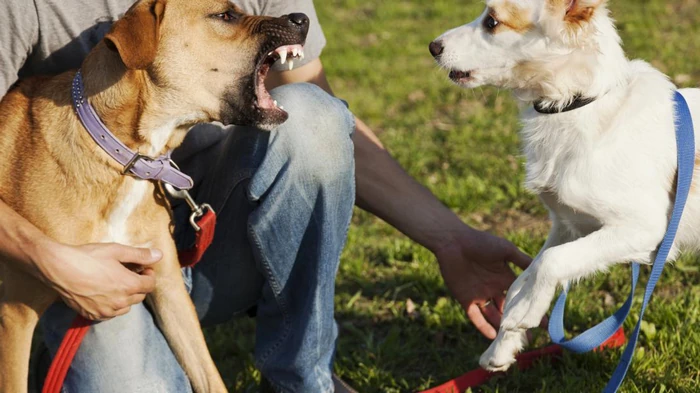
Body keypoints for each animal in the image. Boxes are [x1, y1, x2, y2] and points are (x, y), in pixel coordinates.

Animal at [0, 0, 308, 392]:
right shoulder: (16, 314)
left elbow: (208, 374)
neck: (126, 156)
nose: (302, 18)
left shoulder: (169, 288)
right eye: (225, 15)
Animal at [430, 0, 696, 370]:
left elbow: (551, 262)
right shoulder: (571, 225)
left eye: (492, 22)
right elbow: (527, 273)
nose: (432, 47)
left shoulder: (646, 227)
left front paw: (526, 313)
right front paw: (503, 343)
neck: (575, 106)